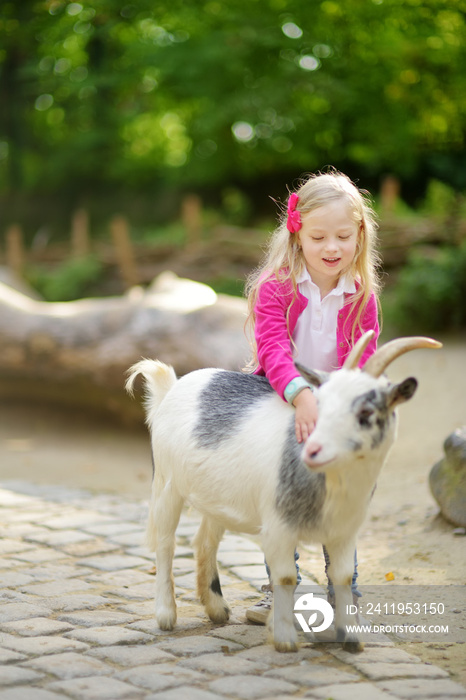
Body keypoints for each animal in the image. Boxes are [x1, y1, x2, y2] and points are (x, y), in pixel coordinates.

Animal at [126, 332, 440, 652]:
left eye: (366, 411)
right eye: (318, 405)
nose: (313, 450)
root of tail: (173, 387)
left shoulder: (344, 530)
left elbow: (341, 576)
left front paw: (350, 638)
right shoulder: (278, 526)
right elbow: (287, 577)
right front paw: (285, 639)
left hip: (216, 498)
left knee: (205, 541)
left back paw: (217, 608)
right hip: (166, 483)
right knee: (165, 543)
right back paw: (166, 614)